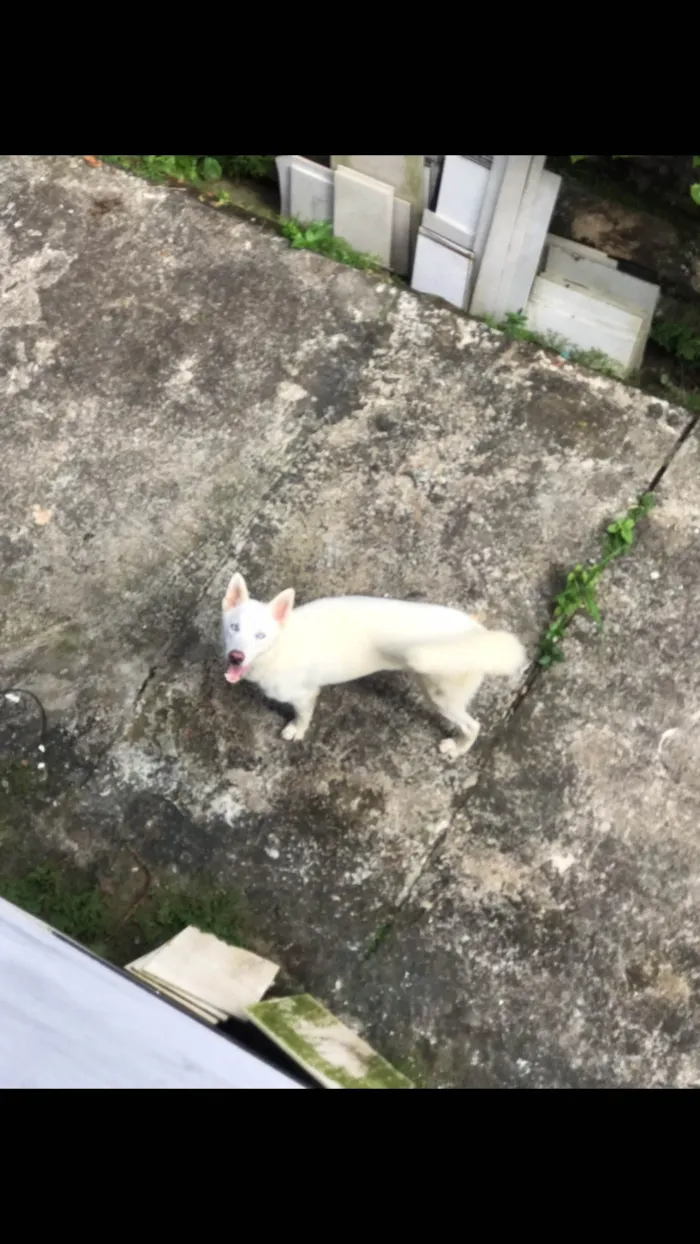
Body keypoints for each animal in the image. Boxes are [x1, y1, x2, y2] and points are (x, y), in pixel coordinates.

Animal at [223, 572, 527, 756]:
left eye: (260, 635)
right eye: (234, 627)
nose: (236, 656)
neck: (280, 646)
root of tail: (478, 634)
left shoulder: (305, 695)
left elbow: (303, 717)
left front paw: (296, 731)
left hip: (442, 697)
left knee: (473, 726)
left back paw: (458, 748)